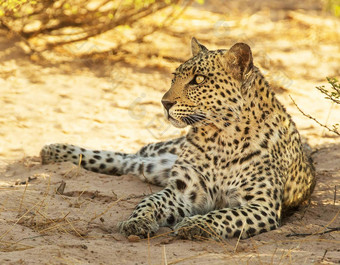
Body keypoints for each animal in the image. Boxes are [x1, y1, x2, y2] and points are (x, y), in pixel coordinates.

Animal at [39, 37, 316, 239]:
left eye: (199, 80)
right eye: (174, 77)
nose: (164, 103)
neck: (221, 138)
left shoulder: (261, 206)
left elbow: (224, 215)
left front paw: (193, 224)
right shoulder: (183, 191)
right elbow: (149, 202)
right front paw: (137, 222)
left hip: (152, 167)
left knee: (129, 162)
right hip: (158, 153)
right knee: (128, 155)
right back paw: (53, 150)